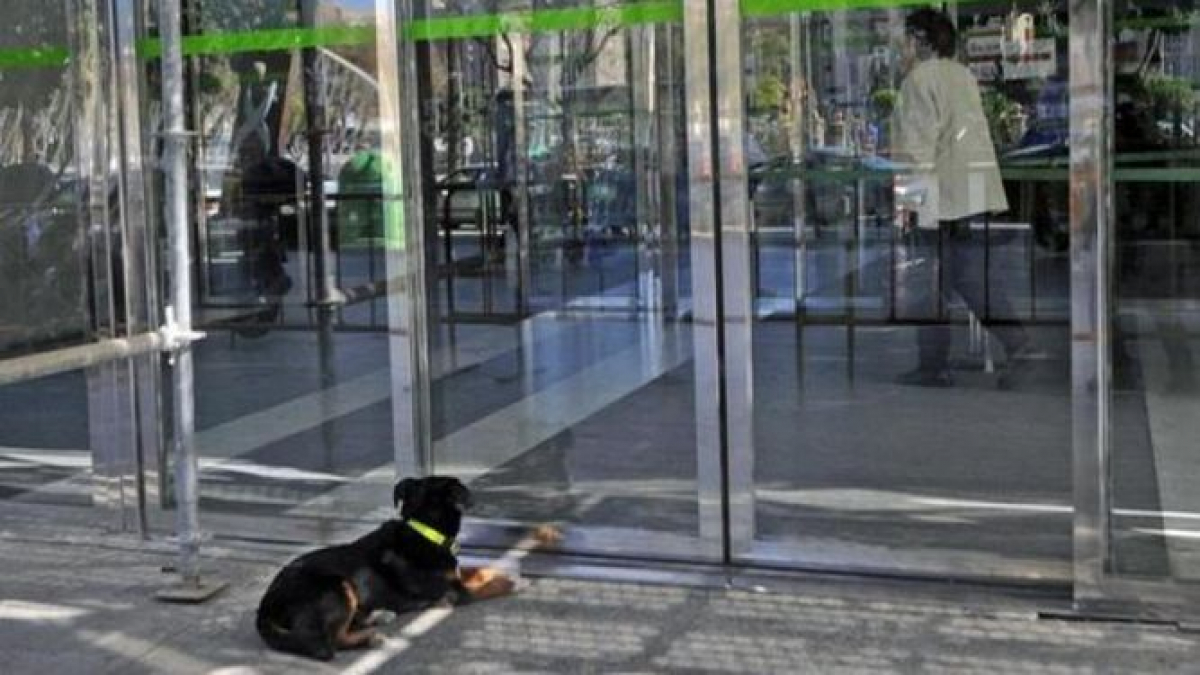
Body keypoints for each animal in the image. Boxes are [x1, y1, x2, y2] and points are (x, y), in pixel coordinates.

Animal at [255, 475, 559, 658]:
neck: (423, 530)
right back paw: (371, 638)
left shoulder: (454, 575)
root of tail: (265, 606)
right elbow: (491, 585)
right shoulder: (457, 592)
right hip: (337, 586)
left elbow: (481, 570)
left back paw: (378, 616)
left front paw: (508, 569)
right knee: (330, 640)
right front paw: (516, 582)